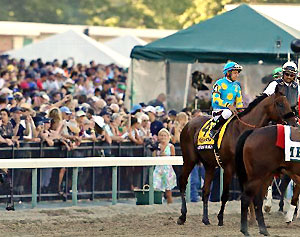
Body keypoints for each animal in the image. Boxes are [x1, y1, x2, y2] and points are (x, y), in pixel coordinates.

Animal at [177, 86, 296, 227]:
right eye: (280, 104)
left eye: (289, 103)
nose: (294, 123)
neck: (241, 130)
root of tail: (188, 124)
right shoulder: (229, 168)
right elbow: (225, 194)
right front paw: (220, 218)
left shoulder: (247, 169)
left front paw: (252, 220)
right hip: (189, 160)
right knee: (183, 182)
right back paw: (182, 216)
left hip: (209, 165)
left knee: (205, 190)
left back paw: (205, 219)